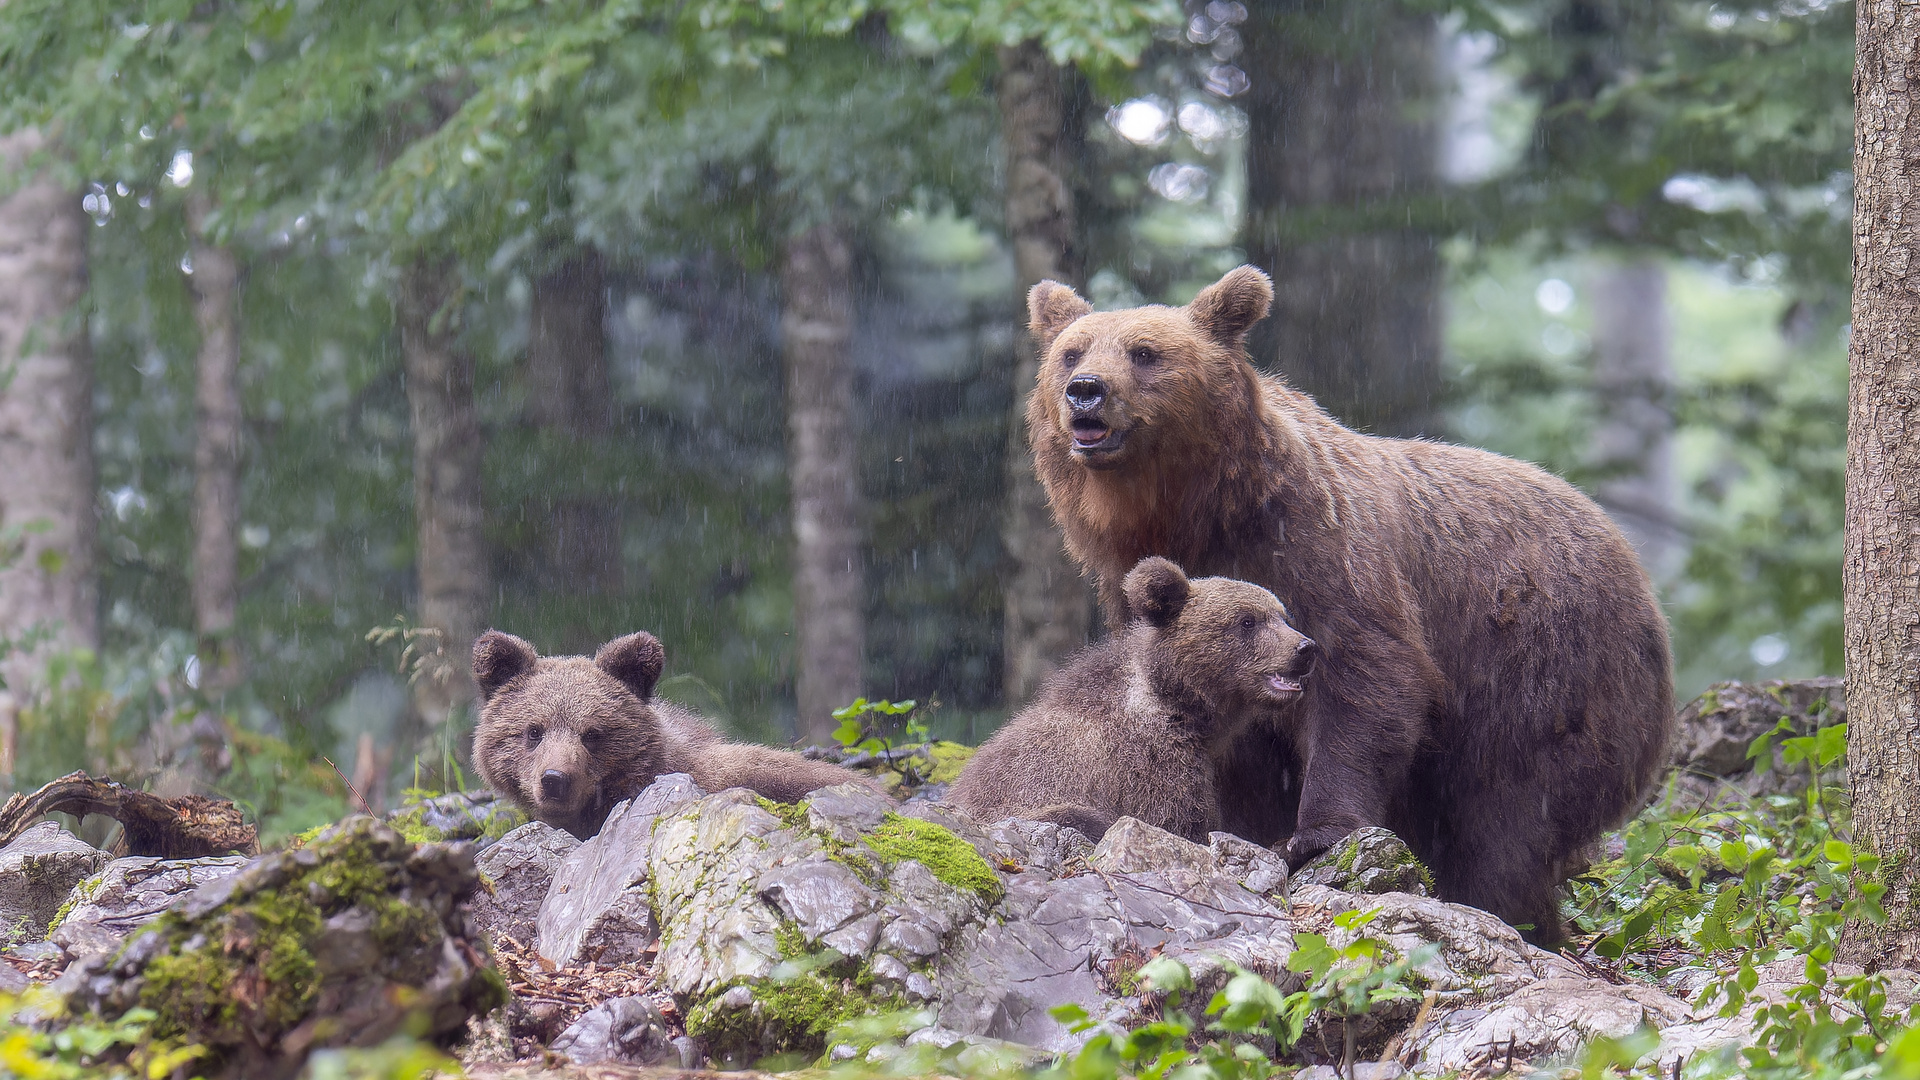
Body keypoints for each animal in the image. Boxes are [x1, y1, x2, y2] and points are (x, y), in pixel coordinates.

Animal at [1029, 263, 1674, 933]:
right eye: (1071, 351)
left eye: (1144, 352)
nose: (1085, 390)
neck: (1199, 513)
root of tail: (1634, 567)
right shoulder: (1148, 591)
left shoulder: (1318, 550)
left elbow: (1363, 677)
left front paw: (1315, 834)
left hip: (1545, 671)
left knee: (1509, 818)